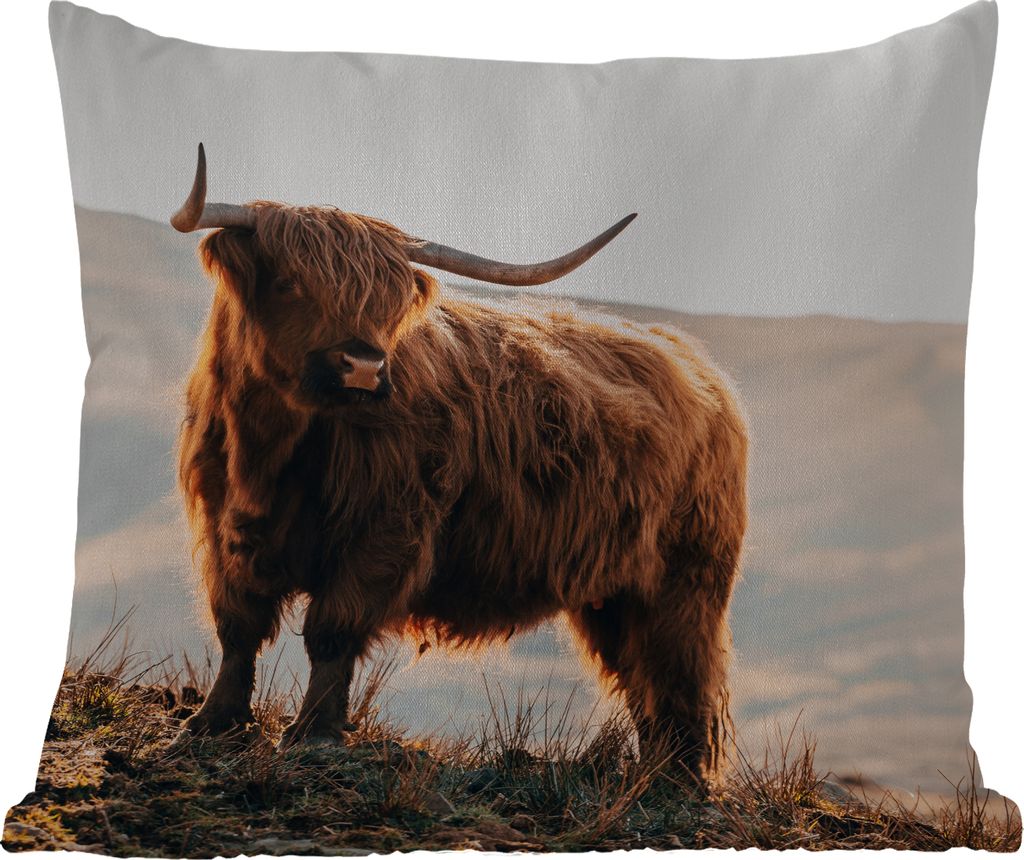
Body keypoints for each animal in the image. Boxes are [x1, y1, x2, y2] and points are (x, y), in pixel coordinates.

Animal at [171, 144, 747, 786]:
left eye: (389, 301)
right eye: (290, 283)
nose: (364, 367)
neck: (270, 451)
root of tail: (694, 364)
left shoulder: (385, 532)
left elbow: (332, 630)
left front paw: (313, 734)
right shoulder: (224, 525)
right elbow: (237, 624)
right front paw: (210, 721)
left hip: (684, 580)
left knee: (679, 673)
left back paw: (678, 781)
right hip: (613, 593)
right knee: (641, 676)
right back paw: (651, 775)